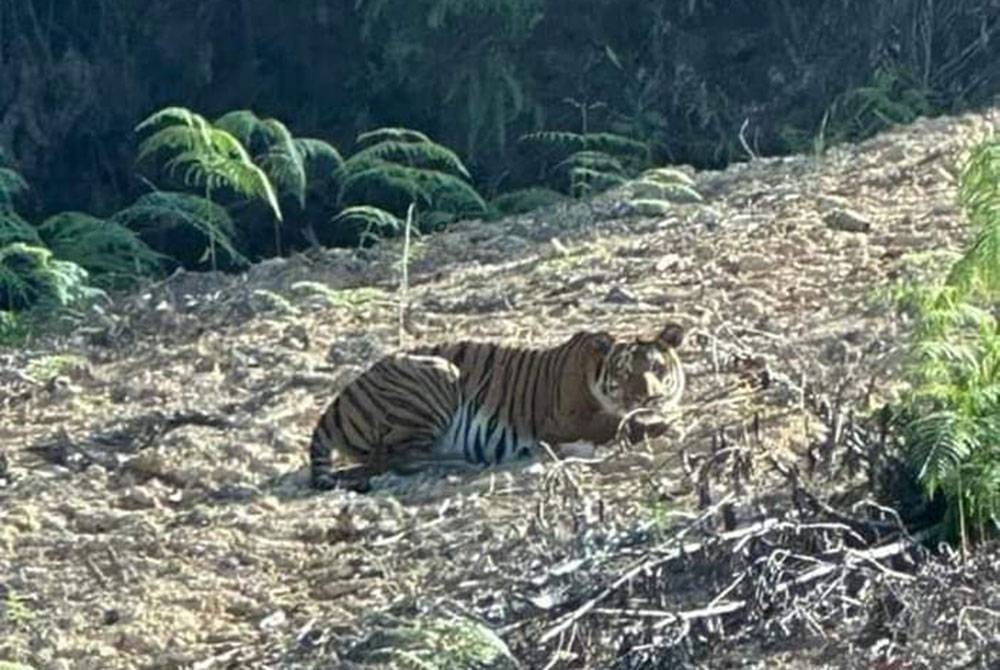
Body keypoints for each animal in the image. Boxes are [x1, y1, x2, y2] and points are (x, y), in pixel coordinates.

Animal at [312, 322, 688, 490]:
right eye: (624, 372)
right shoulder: (565, 422)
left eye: (656, 368)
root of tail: (332, 408)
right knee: (398, 458)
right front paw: (659, 423)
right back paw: (464, 462)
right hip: (435, 375)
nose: (649, 396)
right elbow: (617, 423)